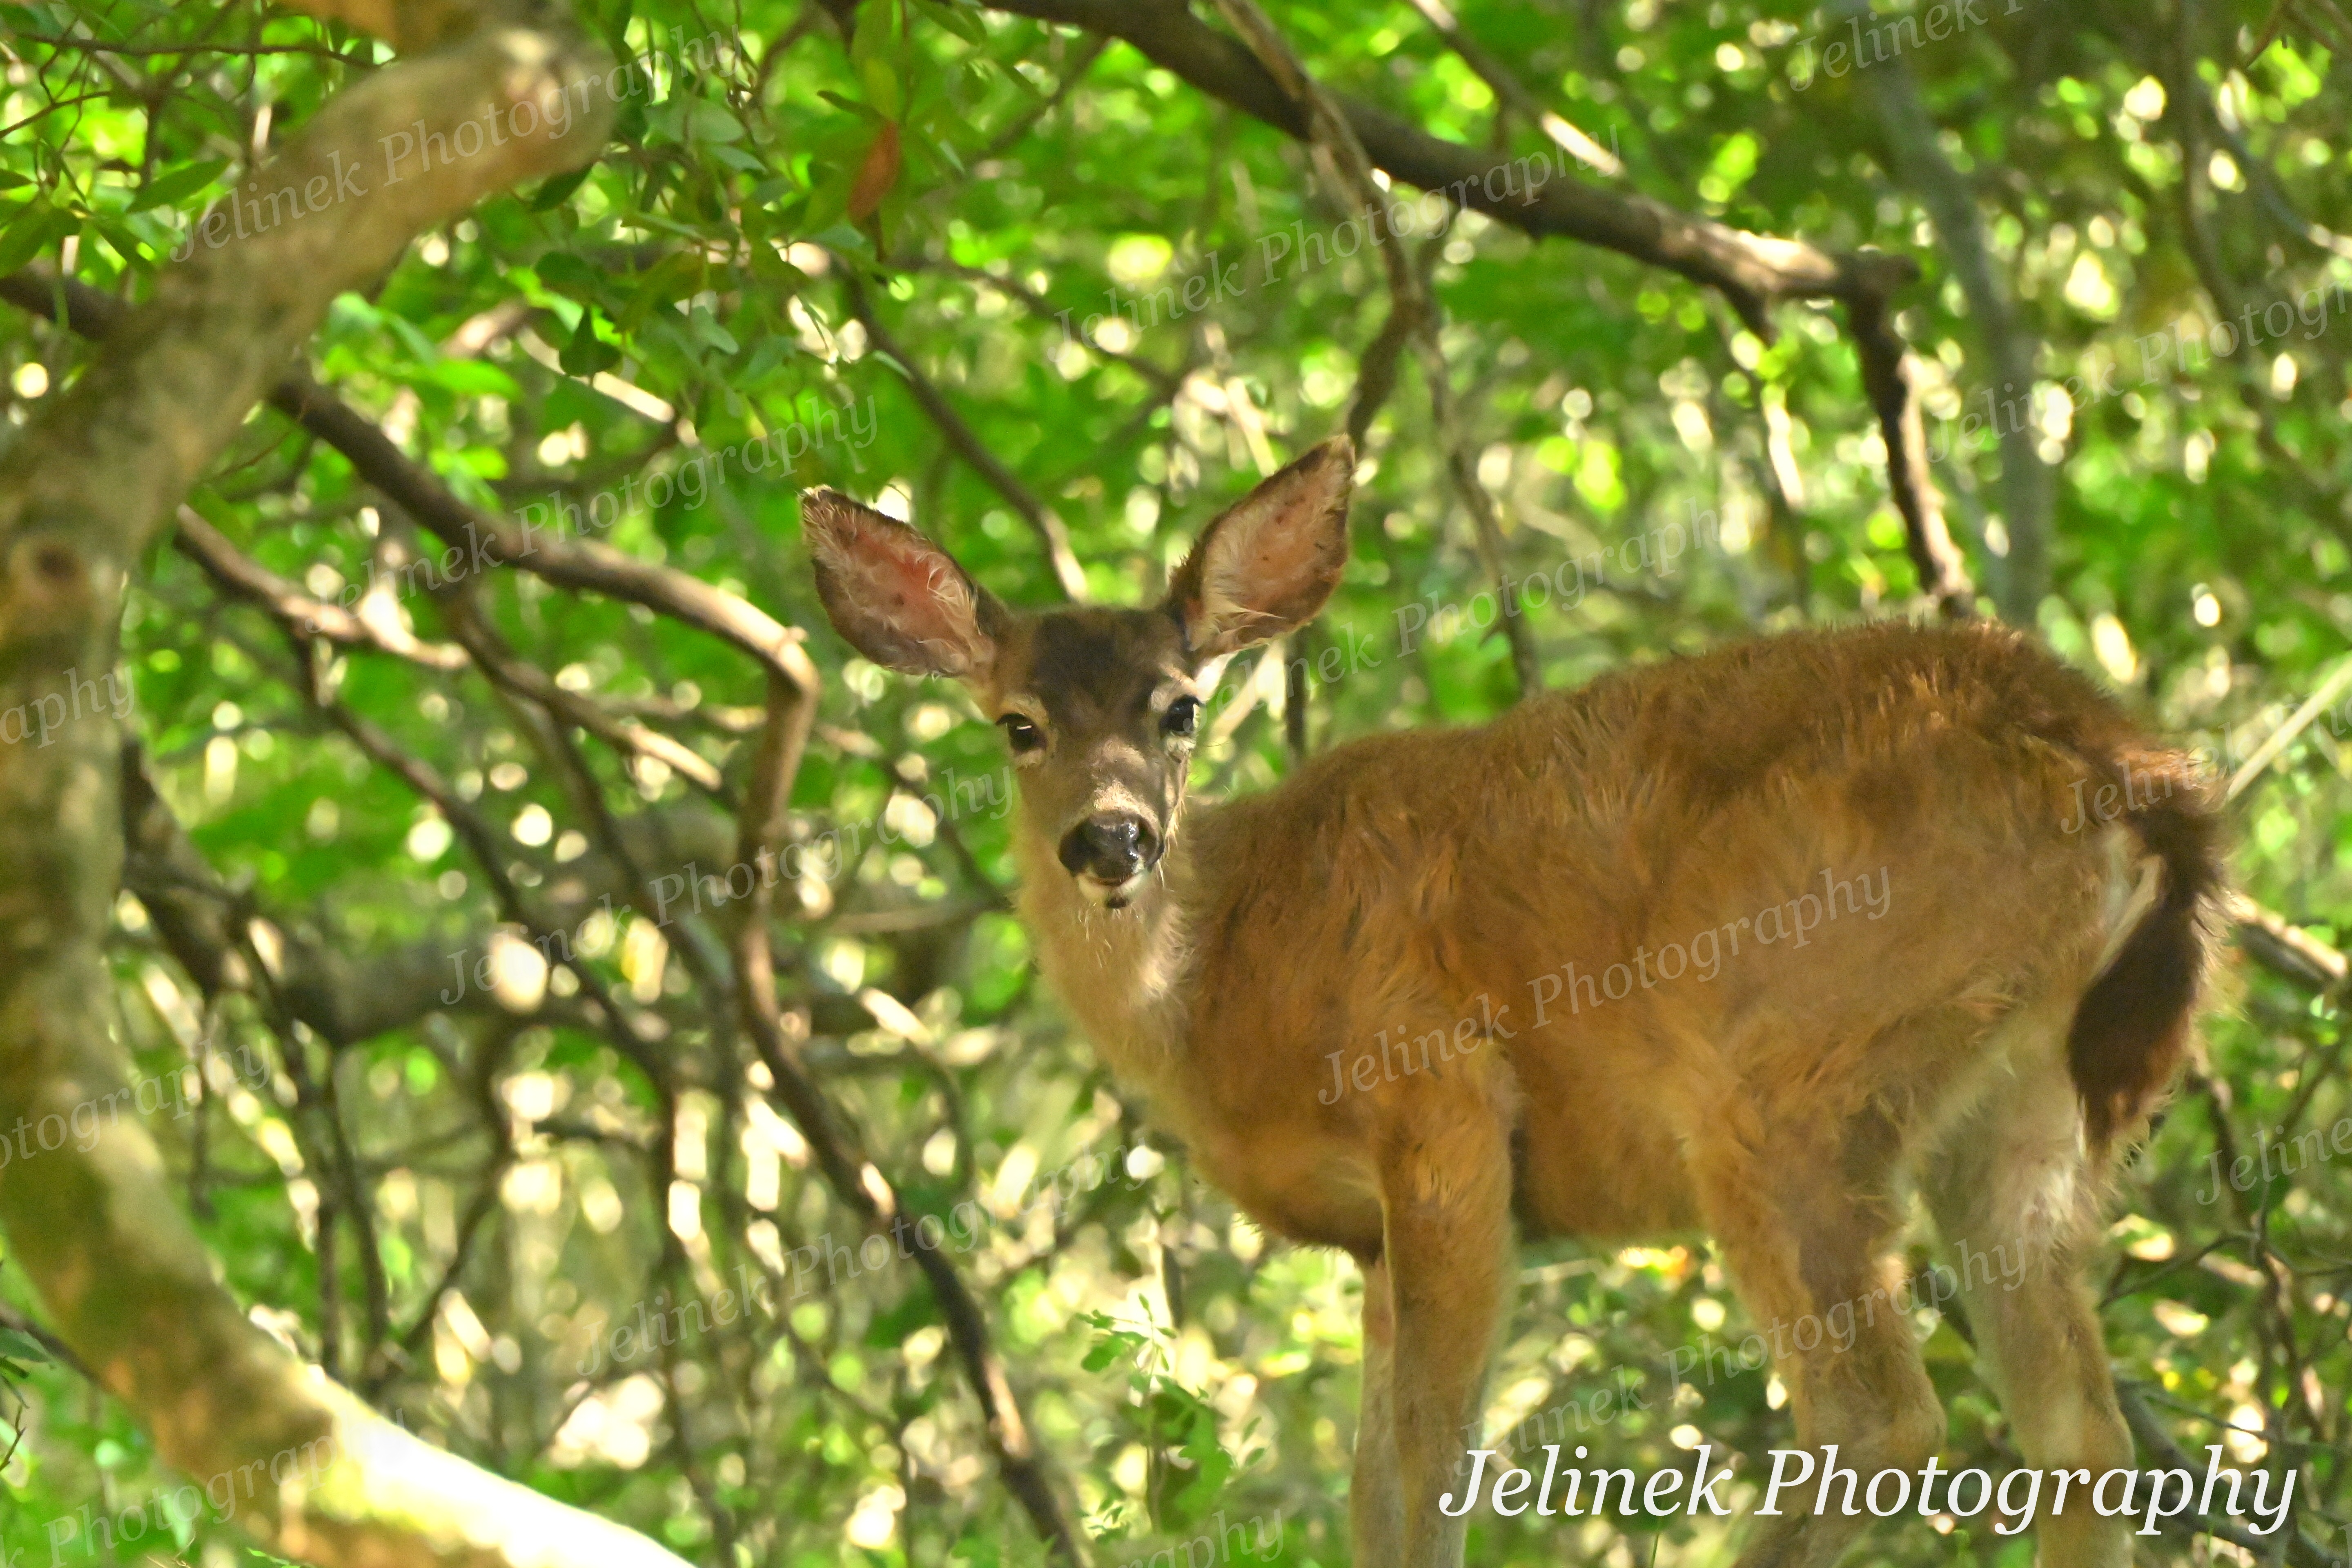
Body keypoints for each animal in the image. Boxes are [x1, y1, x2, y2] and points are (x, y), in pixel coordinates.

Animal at [799, 434, 2222, 1568]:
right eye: (1019, 724)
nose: (1112, 839)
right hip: (2019, 1110)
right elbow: (1377, 1490)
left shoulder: (1437, 1100)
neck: (1223, 984)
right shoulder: (1370, 1236)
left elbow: (1431, 1471)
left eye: (1181, 708)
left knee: (1881, 1416)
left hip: (1789, 1065)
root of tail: (2136, 777)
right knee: (2082, 1439)